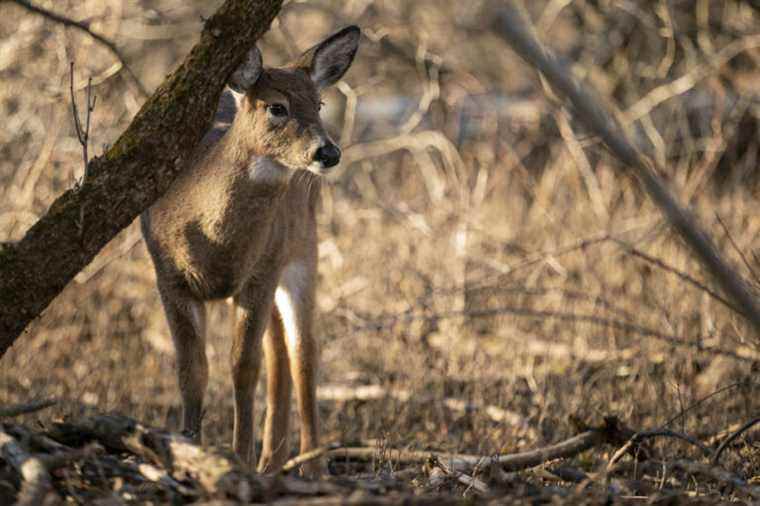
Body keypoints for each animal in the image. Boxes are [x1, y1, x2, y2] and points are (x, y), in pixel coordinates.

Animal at [140, 26, 362, 478]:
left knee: (302, 352)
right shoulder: (168, 275)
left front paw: (237, 456)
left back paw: (310, 465)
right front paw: (190, 447)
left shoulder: (259, 272)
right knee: (279, 352)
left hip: (300, 252)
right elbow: (192, 370)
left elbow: (244, 367)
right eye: (277, 106)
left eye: (319, 103)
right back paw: (272, 461)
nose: (328, 152)